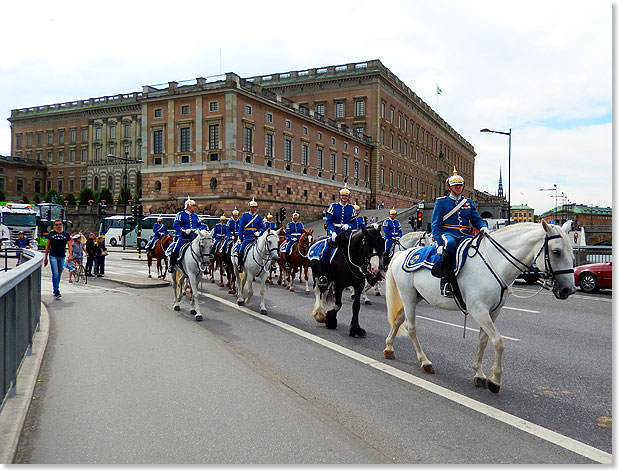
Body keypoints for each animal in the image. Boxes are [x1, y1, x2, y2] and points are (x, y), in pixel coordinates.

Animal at [382, 220, 576, 392]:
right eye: (556, 251)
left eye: (572, 253)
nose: (569, 289)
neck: (494, 264)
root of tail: (401, 254)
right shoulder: (478, 310)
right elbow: (498, 341)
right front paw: (495, 380)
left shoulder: (493, 312)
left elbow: (483, 341)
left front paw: (479, 374)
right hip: (408, 296)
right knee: (411, 327)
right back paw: (425, 361)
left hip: (416, 297)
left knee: (399, 319)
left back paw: (389, 347)